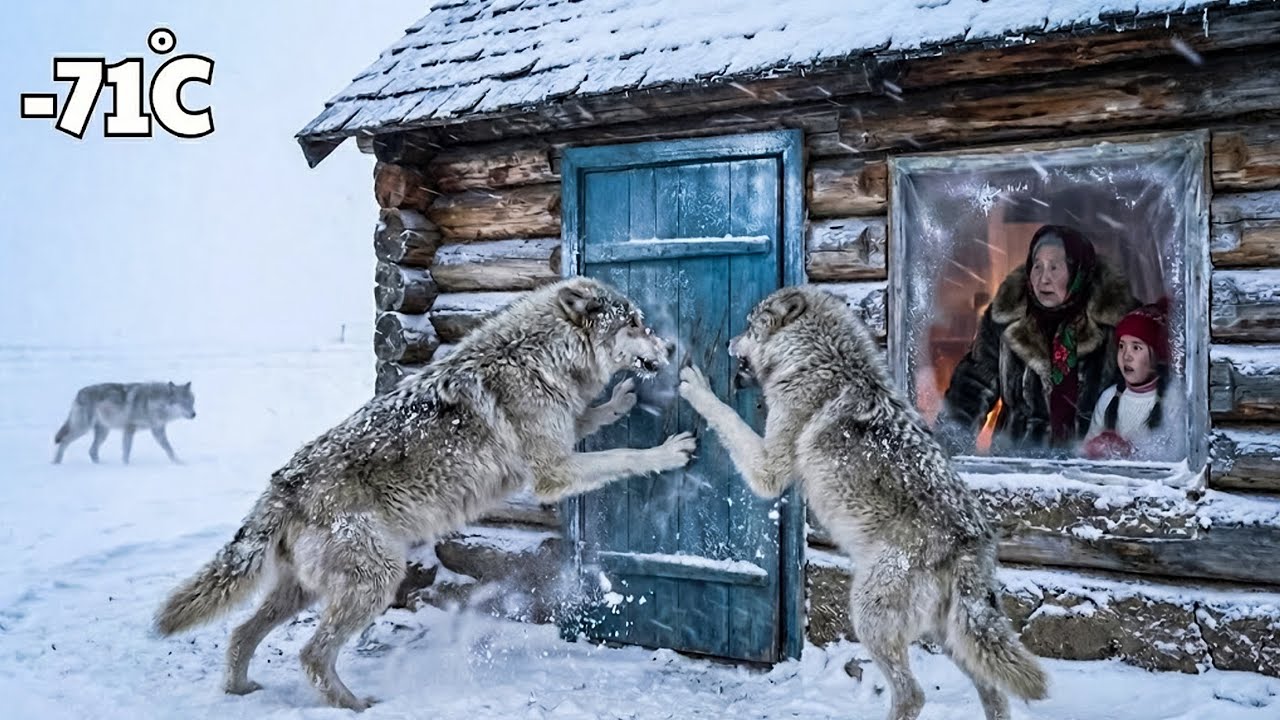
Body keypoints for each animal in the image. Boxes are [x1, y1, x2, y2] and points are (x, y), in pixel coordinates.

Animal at [53, 381, 197, 464]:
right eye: (183, 403)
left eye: (191, 402)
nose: (194, 414)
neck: (151, 403)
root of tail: (78, 393)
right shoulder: (129, 429)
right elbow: (127, 450)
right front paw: (126, 466)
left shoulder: (158, 430)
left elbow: (168, 448)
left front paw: (178, 462)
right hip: (83, 429)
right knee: (64, 442)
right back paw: (56, 463)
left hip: (103, 433)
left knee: (92, 451)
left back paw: (101, 465)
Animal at [154, 277, 697, 711]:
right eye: (635, 323)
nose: (671, 350)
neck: (541, 356)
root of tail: (282, 484)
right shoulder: (553, 472)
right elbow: (622, 456)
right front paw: (667, 452)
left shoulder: (563, 436)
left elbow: (594, 417)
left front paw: (620, 400)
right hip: (377, 580)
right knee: (311, 653)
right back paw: (355, 705)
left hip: (304, 590)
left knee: (241, 633)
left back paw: (239, 691)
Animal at [678, 286, 1047, 720]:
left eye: (750, 326)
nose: (730, 342)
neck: (817, 360)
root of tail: (973, 540)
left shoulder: (769, 470)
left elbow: (725, 414)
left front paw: (695, 385)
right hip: (950, 636)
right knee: (993, 691)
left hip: (868, 613)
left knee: (912, 694)